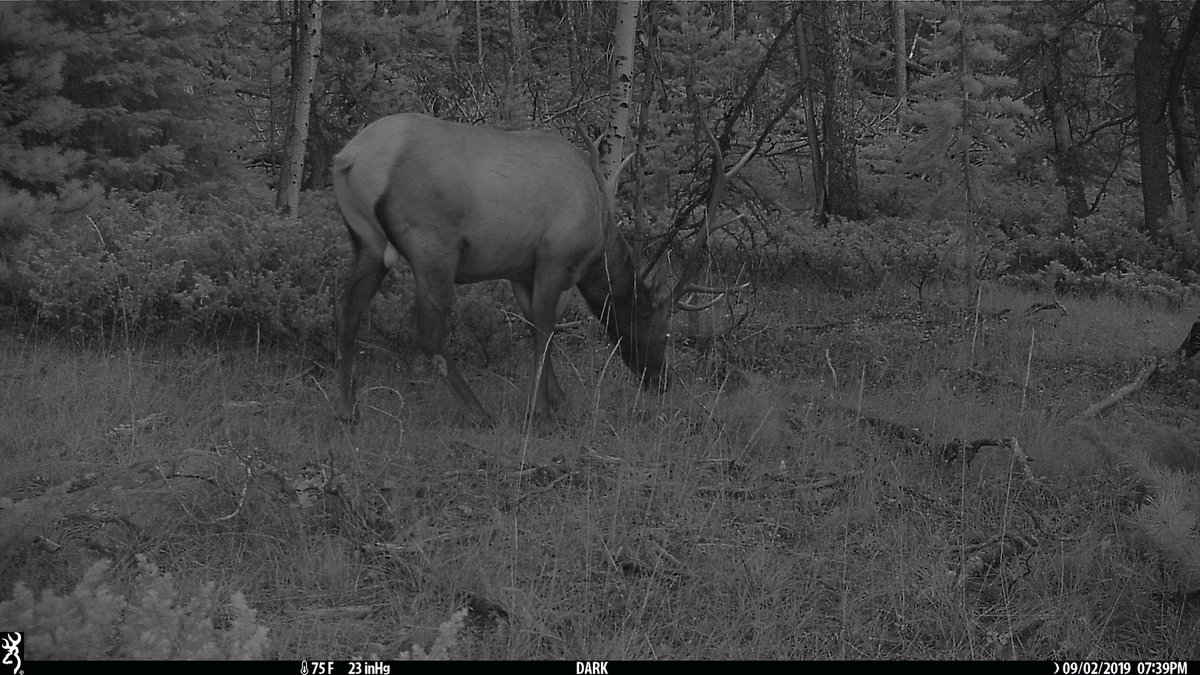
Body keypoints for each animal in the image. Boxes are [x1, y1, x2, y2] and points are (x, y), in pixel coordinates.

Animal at [331, 113, 671, 424]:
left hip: (369, 244)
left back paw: (349, 410)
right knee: (427, 331)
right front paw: (540, 409)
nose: (661, 380)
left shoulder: (520, 273)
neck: (599, 236)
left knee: (348, 313)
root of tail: (350, 158)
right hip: (433, 248)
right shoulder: (553, 259)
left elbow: (535, 326)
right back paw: (481, 414)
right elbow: (545, 329)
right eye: (664, 331)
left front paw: (556, 396)